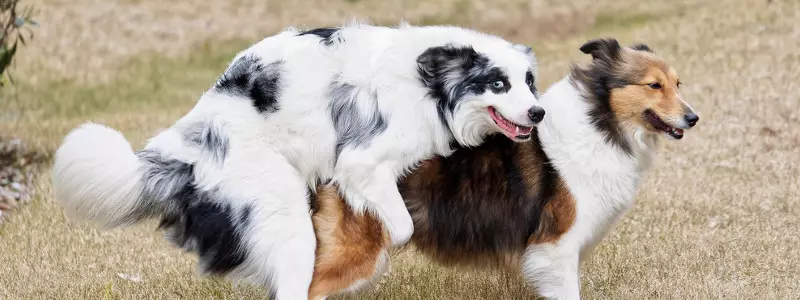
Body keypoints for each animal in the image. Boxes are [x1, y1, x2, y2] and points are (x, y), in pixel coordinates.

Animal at [50, 22, 544, 298]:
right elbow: (400, 226)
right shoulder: (362, 160)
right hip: (281, 209)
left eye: (528, 82)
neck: (431, 82)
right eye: (498, 83)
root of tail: (190, 140)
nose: (538, 113)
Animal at [308, 38, 700, 300]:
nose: (693, 118)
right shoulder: (555, 248)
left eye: (678, 83)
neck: (600, 122)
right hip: (359, 249)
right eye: (654, 85)